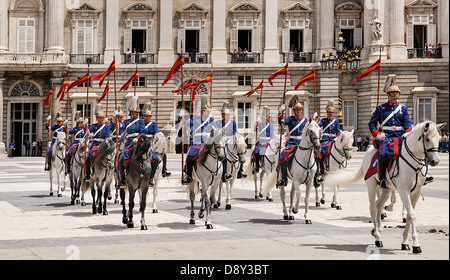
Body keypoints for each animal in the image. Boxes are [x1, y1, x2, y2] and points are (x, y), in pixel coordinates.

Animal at [326, 121, 444, 253]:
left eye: (439, 139)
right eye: (427, 139)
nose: (435, 161)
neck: (415, 164)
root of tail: (368, 151)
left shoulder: (416, 192)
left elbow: (409, 215)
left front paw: (405, 242)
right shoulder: (404, 191)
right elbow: (412, 215)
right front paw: (416, 245)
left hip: (386, 189)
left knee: (378, 206)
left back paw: (377, 230)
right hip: (371, 185)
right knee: (373, 208)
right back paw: (378, 237)